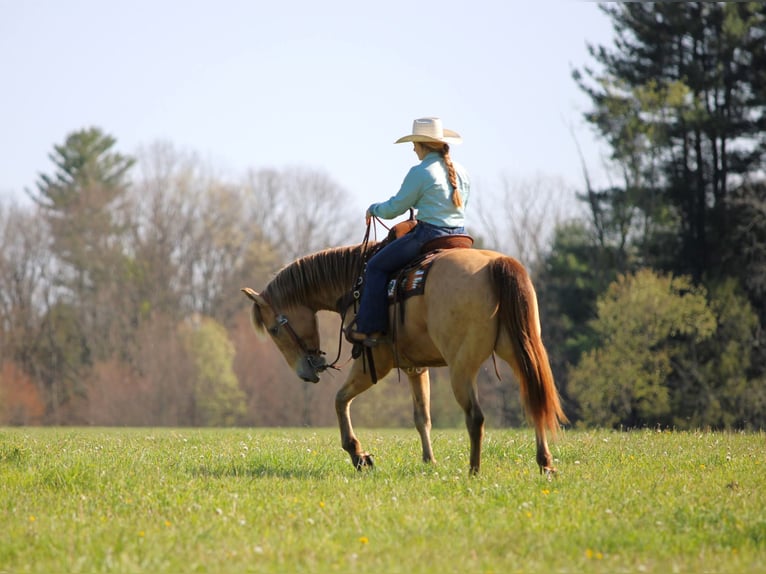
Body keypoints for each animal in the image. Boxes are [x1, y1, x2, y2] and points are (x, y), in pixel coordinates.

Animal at [241, 242, 566, 475]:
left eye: (274, 329)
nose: (306, 372)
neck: (355, 281)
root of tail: (494, 265)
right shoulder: (415, 367)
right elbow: (422, 416)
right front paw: (428, 461)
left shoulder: (374, 361)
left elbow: (340, 399)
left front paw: (357, 454)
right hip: (520, 353)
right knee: (534, 401)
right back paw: (545, 463)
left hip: (462, 367)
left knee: (476, 416)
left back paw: (474, 471)